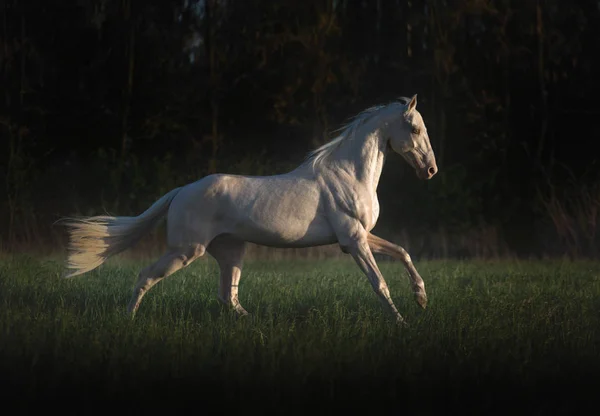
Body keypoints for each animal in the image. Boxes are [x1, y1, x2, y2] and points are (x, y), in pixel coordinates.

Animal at [61, 95, 436, 324]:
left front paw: (421, 299)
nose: (430, 170)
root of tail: (182, 190)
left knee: (228, 296)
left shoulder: (360, 236)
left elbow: (403, 252)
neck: (348, 174)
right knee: (146, 276)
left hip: (230, 251)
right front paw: (402, 321)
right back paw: (129, 319)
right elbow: (379, 283)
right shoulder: (353, 240)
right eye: (415, 128)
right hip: (186, 251)